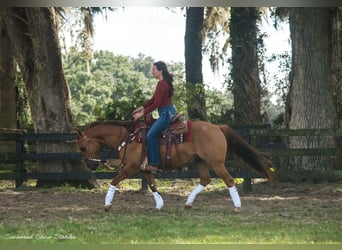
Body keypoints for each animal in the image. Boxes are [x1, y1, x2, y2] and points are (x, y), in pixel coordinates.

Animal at [77, 119, 276, 213]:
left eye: (82, 147)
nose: (90, 165)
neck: (129, 138)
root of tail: (217, 127)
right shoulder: (144, 168)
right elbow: (152, 185)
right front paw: (159, 204)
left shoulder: (130, 167)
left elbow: (114, 181)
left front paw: (107, 205)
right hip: (201, 162)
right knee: (205, 179)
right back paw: (188, 203)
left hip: (217, 163)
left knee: (229, 180)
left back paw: (237, 206)